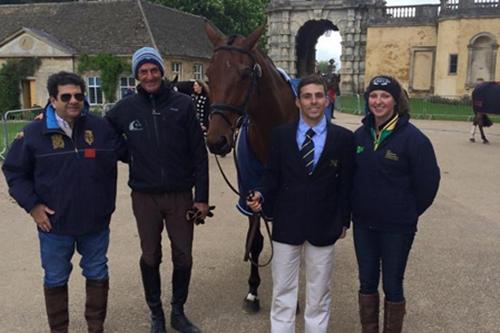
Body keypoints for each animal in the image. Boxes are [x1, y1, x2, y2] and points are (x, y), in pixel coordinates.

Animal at [203, 23, 296, 312]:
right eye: (208, 74)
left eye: (245, 73)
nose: (216, 140)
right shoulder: (250, 192)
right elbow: (255, 241)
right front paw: (253, 291)